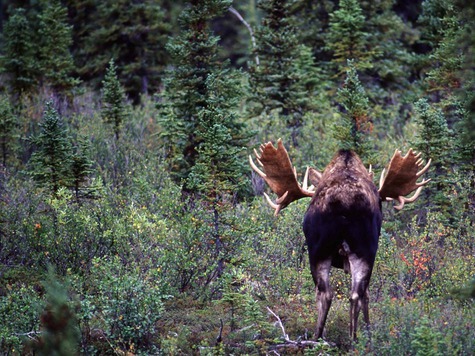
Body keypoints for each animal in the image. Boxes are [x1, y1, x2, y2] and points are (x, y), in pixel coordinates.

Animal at [251, 138, 434, 340]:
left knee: (327, 293)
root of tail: (345, 203)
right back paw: (356, 338)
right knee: (356, 294)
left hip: (319, 250)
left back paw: (319, 337)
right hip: (364, 249)